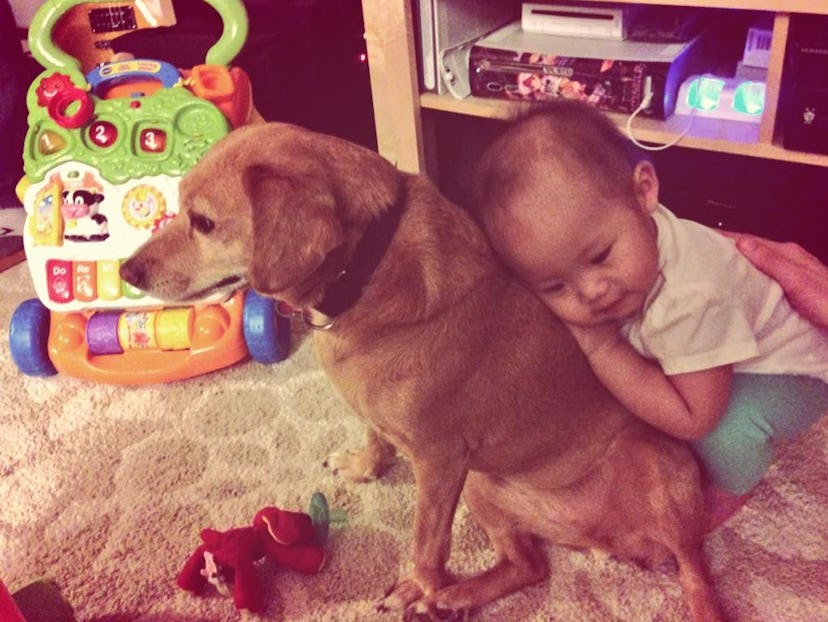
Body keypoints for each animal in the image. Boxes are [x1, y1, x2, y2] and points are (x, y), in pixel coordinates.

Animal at [119, 123, 720, 622]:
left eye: (203, 223)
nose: (126, 270)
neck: (364, 274)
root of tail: (609, 544)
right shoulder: (409, 438)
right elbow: (375, 437)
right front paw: (364, 467)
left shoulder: (440, 460)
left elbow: (426, 543)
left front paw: (417, 586)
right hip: (484, 485)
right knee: (530, 566)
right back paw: (455, 599)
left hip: (653, 466)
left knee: (696, 572)